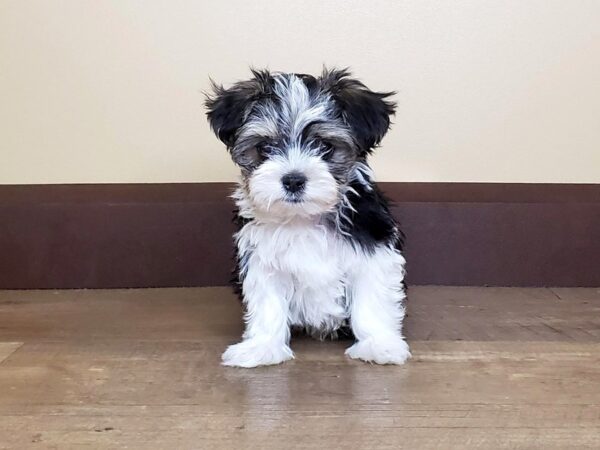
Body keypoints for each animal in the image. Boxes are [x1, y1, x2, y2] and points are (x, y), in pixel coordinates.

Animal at [205, 68, 408, 368]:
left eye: (325, 146)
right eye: (264, 148)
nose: (293, 180)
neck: (303, 217)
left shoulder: (373, 252)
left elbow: (372, 300)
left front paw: (379, 345)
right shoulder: (262, 259)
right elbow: (268, 305)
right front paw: (261, 347)